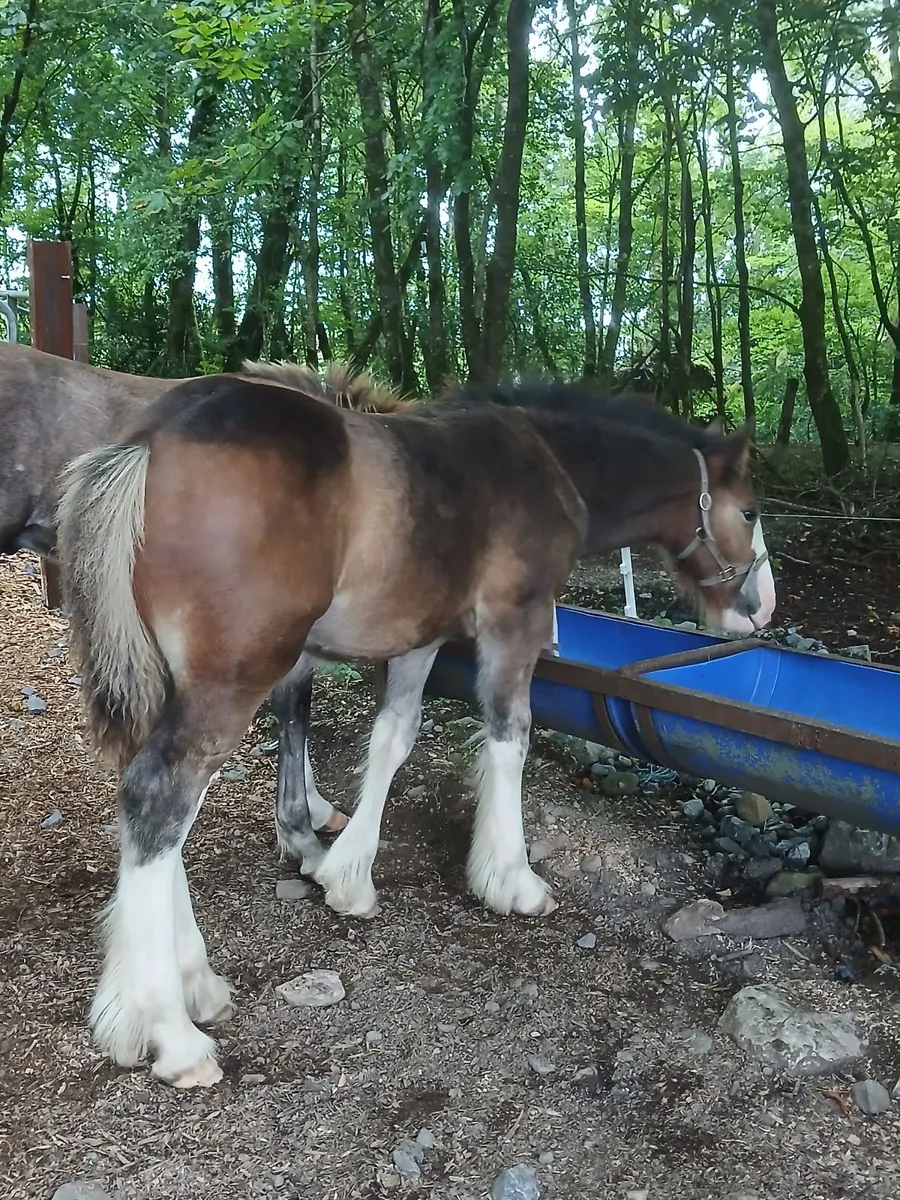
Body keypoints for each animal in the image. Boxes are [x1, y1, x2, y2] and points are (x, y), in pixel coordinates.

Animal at [55, 368, 767, 1088]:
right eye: (750, 510)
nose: (760, 607)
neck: (547, 463)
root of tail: (149, 442)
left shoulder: (423, 635)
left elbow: (393, 736)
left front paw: (348, 877)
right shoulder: (515, 624)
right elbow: (510, 737)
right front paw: (511, 880)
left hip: (165, 680)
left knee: (150, 804)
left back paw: (191, 982)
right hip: (229, 682)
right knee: (160, 799)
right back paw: (172, 1033)